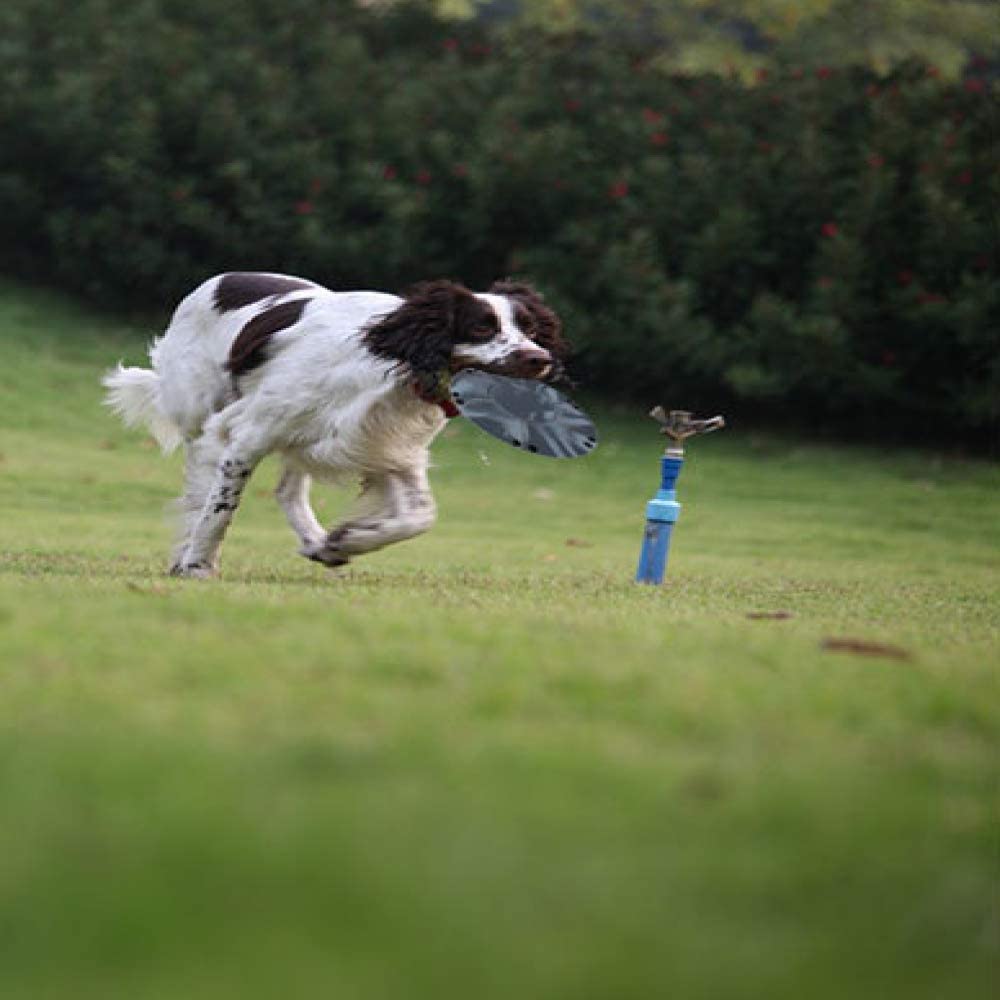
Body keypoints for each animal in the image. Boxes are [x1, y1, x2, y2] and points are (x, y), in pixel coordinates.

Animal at [107, 272, 572, 580]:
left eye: (531, 328)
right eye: (481, 326)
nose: (539, 359)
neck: (393, 371)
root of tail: (218, 280)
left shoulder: (389, 449)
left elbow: (420, 516)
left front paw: (345, 540)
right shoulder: (246, 435)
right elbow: (220, 509)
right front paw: (199, 564)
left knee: (286, 490)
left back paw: (316, 541)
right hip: (201, 413)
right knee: (199, 489)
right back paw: (187, 552)